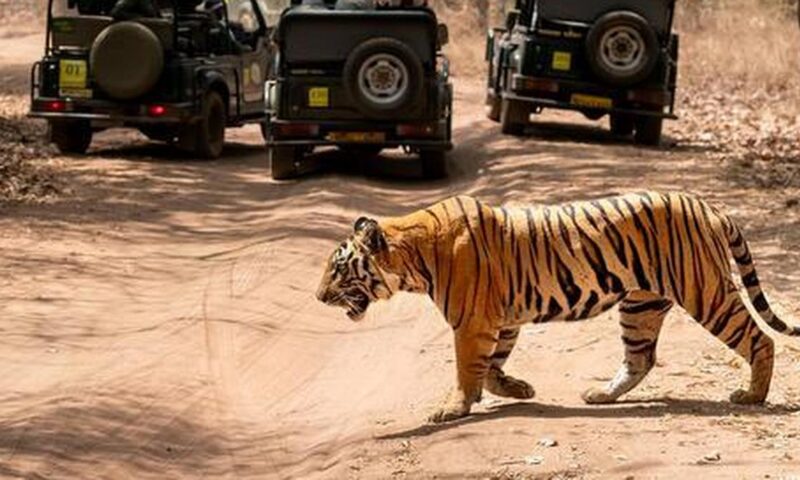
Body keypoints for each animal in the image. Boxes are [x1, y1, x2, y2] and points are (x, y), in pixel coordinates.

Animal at [315, 191, 798, 423]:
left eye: (338, 269)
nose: (318, 297)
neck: (413, 255)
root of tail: (710, 206)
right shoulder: (501, 319)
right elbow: (490, 367)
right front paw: (518, 389)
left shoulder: (472, 322)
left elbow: (467, 369)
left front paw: (454, 409)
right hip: (640, 306)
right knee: (640, 359)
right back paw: (600, 395)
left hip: (707, 292)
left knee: (760, 339)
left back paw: (752, 395)